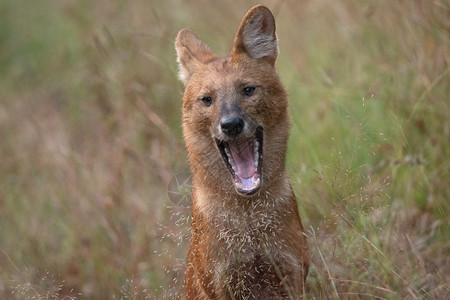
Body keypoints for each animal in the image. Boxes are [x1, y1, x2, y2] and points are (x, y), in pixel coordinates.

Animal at [176, 5, 310, 300]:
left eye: (248, 90)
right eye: (207, 99)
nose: (231, 124)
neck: (249, 219)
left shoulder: (292, 271)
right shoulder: (223, 282)